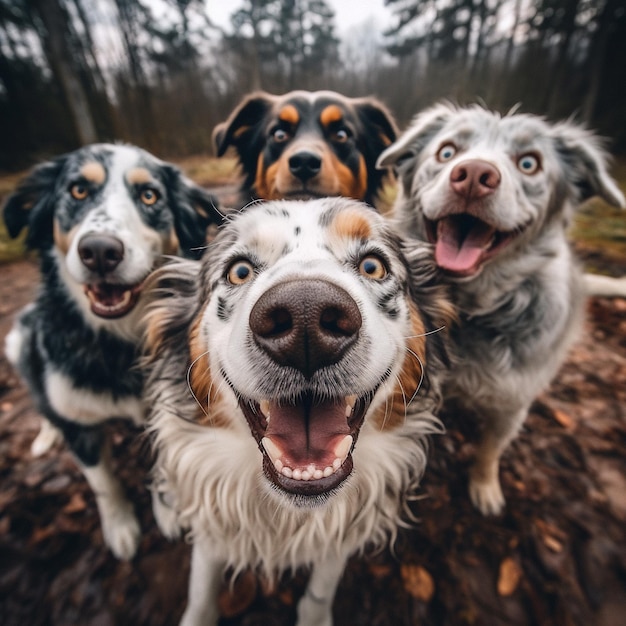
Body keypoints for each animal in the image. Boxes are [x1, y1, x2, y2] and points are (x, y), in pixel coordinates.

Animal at [1, 144, 222, 560]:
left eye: (149, 195)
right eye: (77, 191)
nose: (100, 251)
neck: (119, 342)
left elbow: (159, 461)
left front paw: (166, 508)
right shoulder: (80, 426)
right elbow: (103, 483)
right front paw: (120, 526)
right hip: (19, 339)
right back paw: (46, 435)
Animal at [144, 197, 450, 620]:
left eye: (373, 265)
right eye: (239, 271)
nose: (306, 317)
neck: (288, 516)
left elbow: (320, 592)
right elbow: (202, 593)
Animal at [376, 101, 624, 512]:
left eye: (529, 163)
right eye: (447, 152)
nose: (474, 176)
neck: (463, 306)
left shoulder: (512, 403)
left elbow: (490, 449)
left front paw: (485, 487)